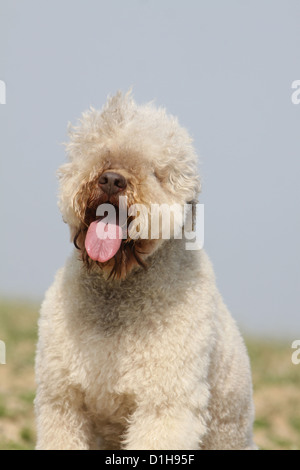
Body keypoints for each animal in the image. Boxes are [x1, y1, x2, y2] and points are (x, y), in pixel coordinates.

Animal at [35, 92, 255, 452]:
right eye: (100, 152)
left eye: (156, 172)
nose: (112, 180)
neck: (117, 289)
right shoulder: (62, 403)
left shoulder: (164, 408)